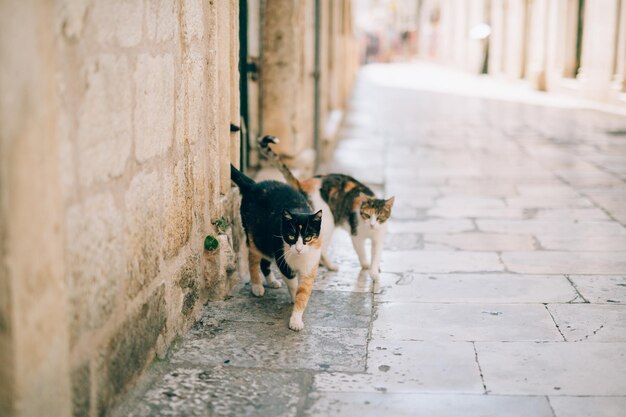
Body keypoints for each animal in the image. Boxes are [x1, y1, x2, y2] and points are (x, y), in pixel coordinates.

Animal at [229, 164, 322, 330]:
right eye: (291, 237)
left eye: (308, 237)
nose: (299, 249)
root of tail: (254, 185)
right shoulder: (283, 260)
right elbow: (293, 285)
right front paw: (294, 302)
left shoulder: (309, 267)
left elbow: (303, 291)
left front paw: (297, 317)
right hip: (257, 238)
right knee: (253, 260)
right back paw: (257, 287)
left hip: (268, 242)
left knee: (264, 262)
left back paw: (271, 281)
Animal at [256, 136, 392, 280]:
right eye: (366, 215)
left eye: (380, 217)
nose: (372, 225)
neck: (369, 230)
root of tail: (303, 184)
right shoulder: (356, 236)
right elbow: (362, 252)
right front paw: (366, 265)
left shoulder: (378, 238)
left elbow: (376, 255)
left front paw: (374, 271)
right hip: (327, 223)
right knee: (321, 251)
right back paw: (330, 266)